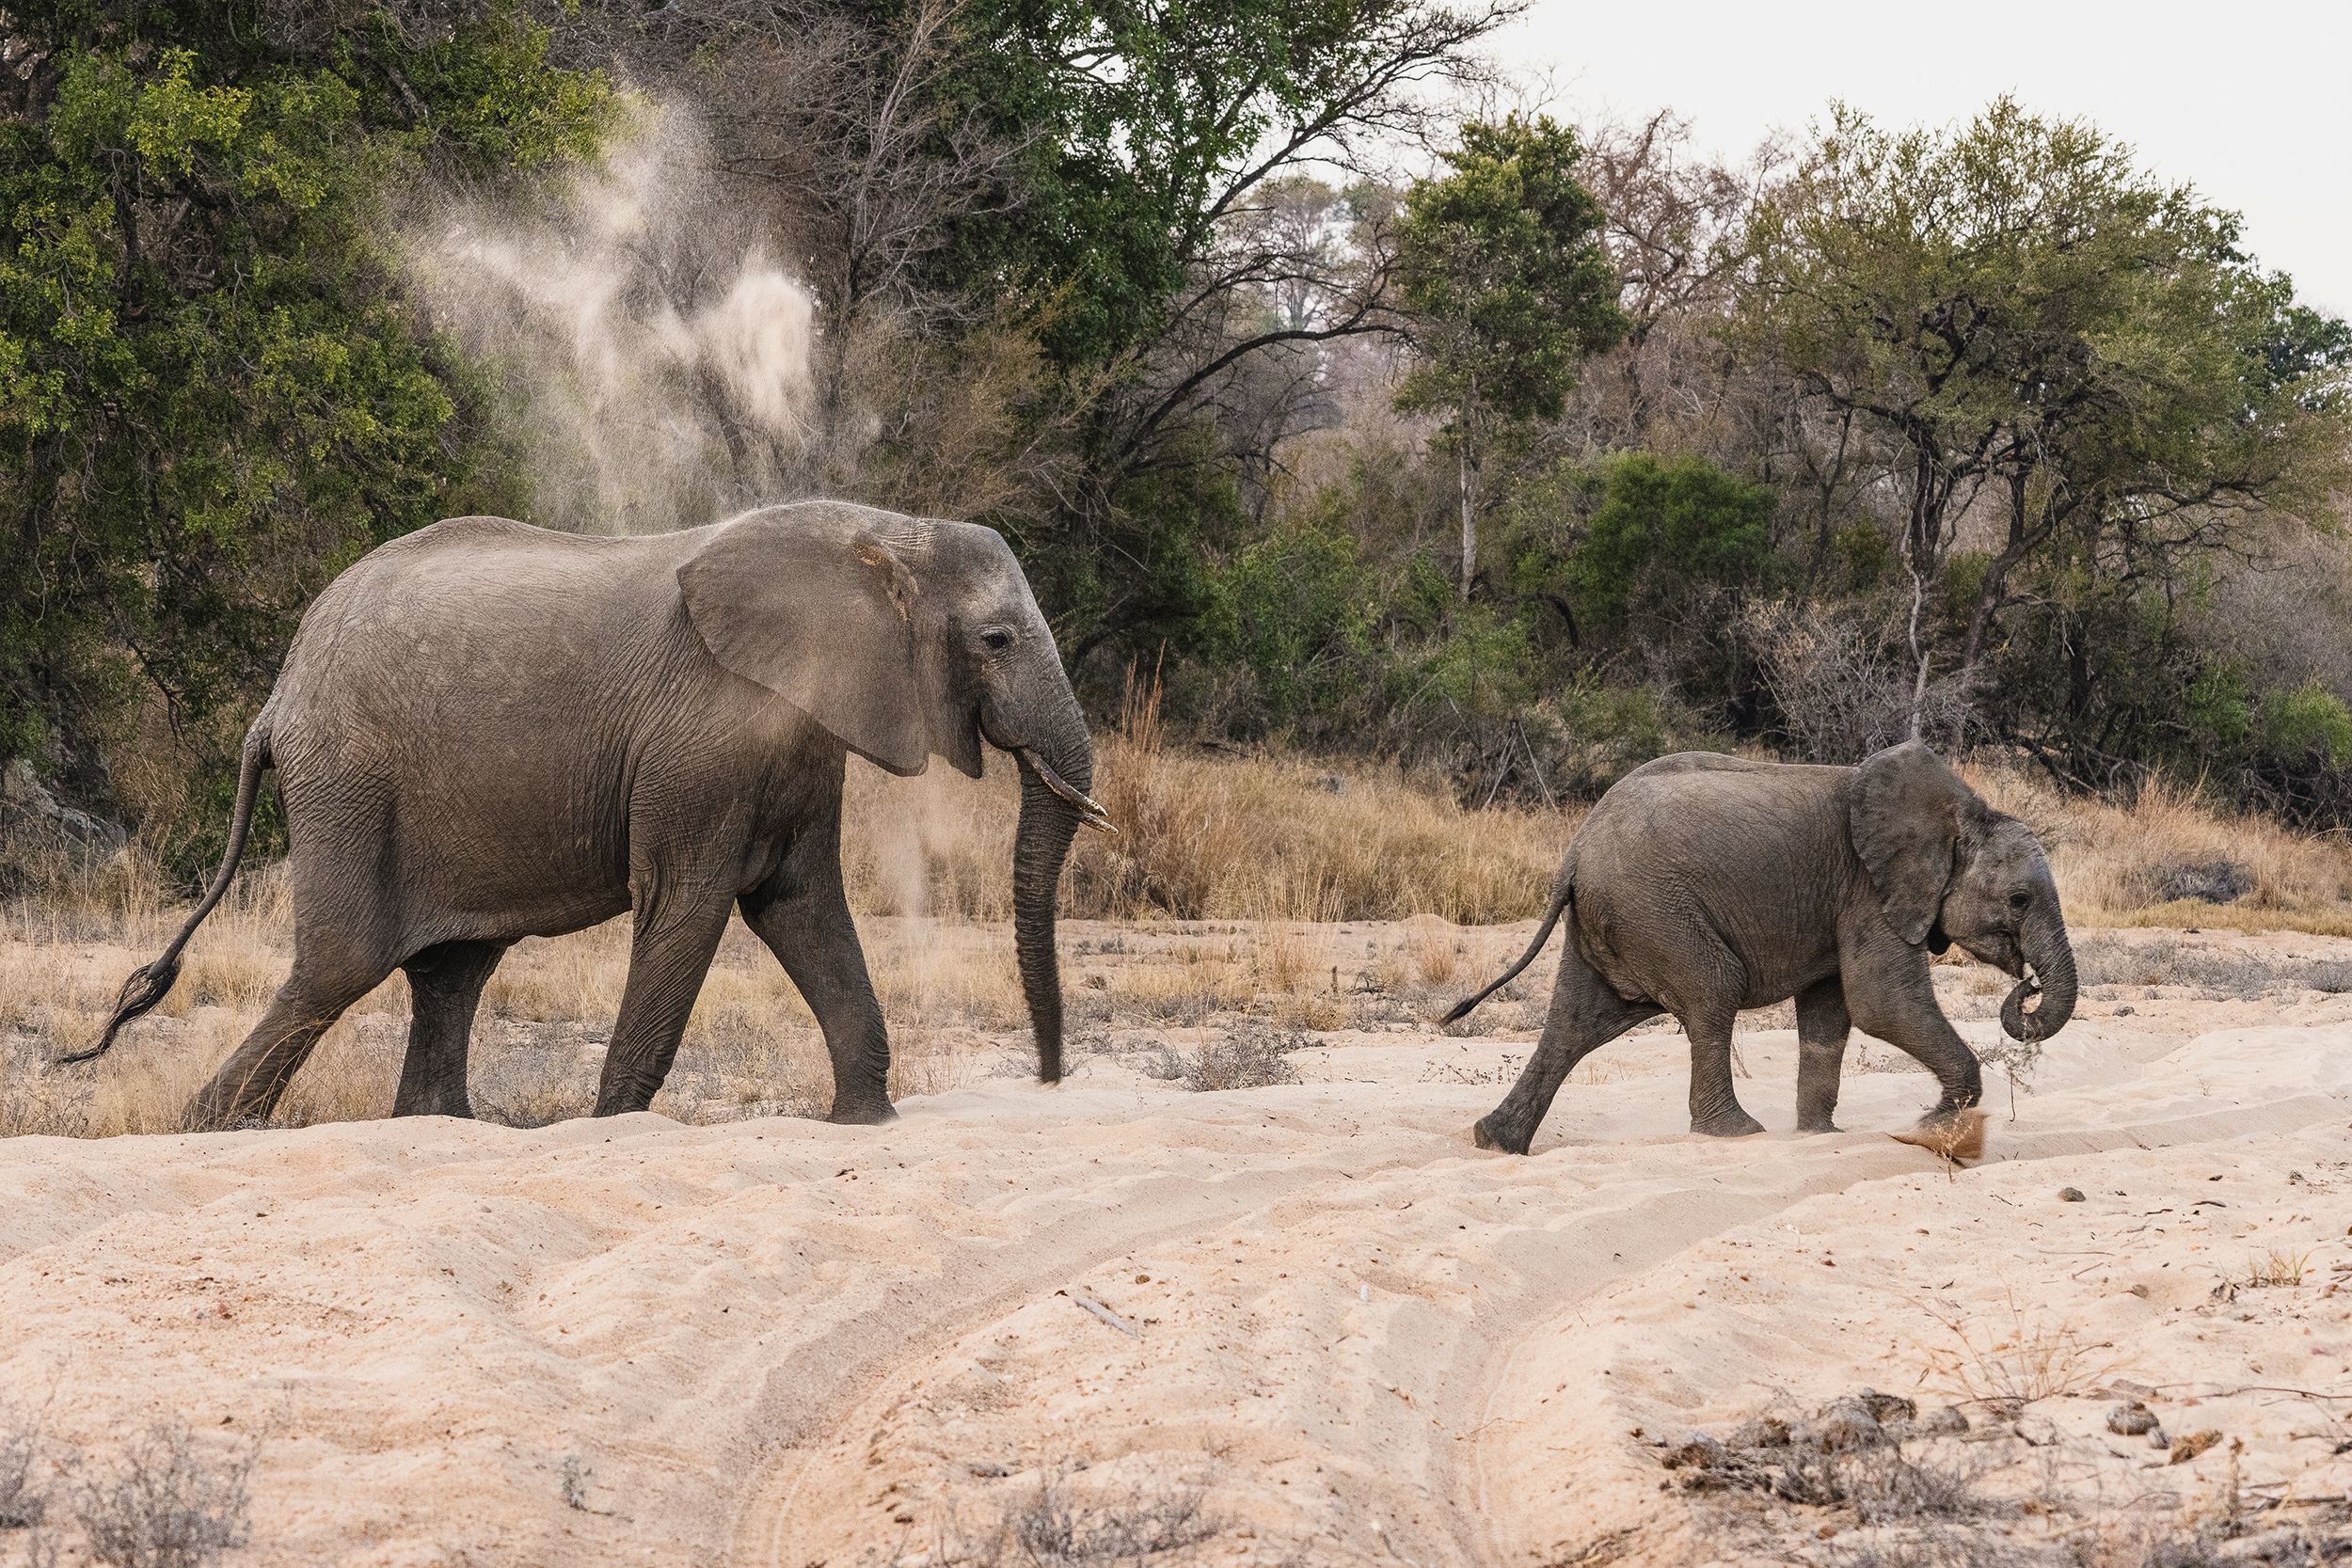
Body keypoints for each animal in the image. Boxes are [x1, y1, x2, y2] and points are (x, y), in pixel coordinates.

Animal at [68, 500, 1112, 1131]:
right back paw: (207, 1127)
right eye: (996, 639)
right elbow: (690, 908)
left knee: (450, 970)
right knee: (339, 966)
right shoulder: (703, 739)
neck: (884, 530)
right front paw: (615, 1127)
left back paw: (437, 1124)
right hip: (348, 780)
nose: (1051, 1076)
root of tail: (277, 697)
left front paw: (864, 1123)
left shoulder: (796, 738)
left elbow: (801, 907)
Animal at [1443, 742, 2076, 1153]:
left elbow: (1831, 1014)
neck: (1960, 813)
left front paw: (1823, 1136)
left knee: (1575, 1023)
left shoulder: (1844, 902)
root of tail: (1574, 852)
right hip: (1654, 909)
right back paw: (1735, 1132)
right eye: (2019, 899)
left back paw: (1495, 1142)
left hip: (1617, 917)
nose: (2027, 983)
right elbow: (1881, 1003)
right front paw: (1935, 1128)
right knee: (1711, 991)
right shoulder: (1870, 892)